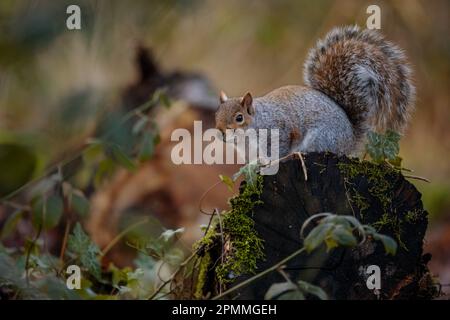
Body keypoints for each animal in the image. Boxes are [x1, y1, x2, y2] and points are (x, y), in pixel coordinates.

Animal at [214, 25, 414, 158]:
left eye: (239, 118)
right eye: (216, 116)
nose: (221, 133)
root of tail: (350, 140)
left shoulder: (279, 132)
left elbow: (279, 151)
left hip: (321, 138)